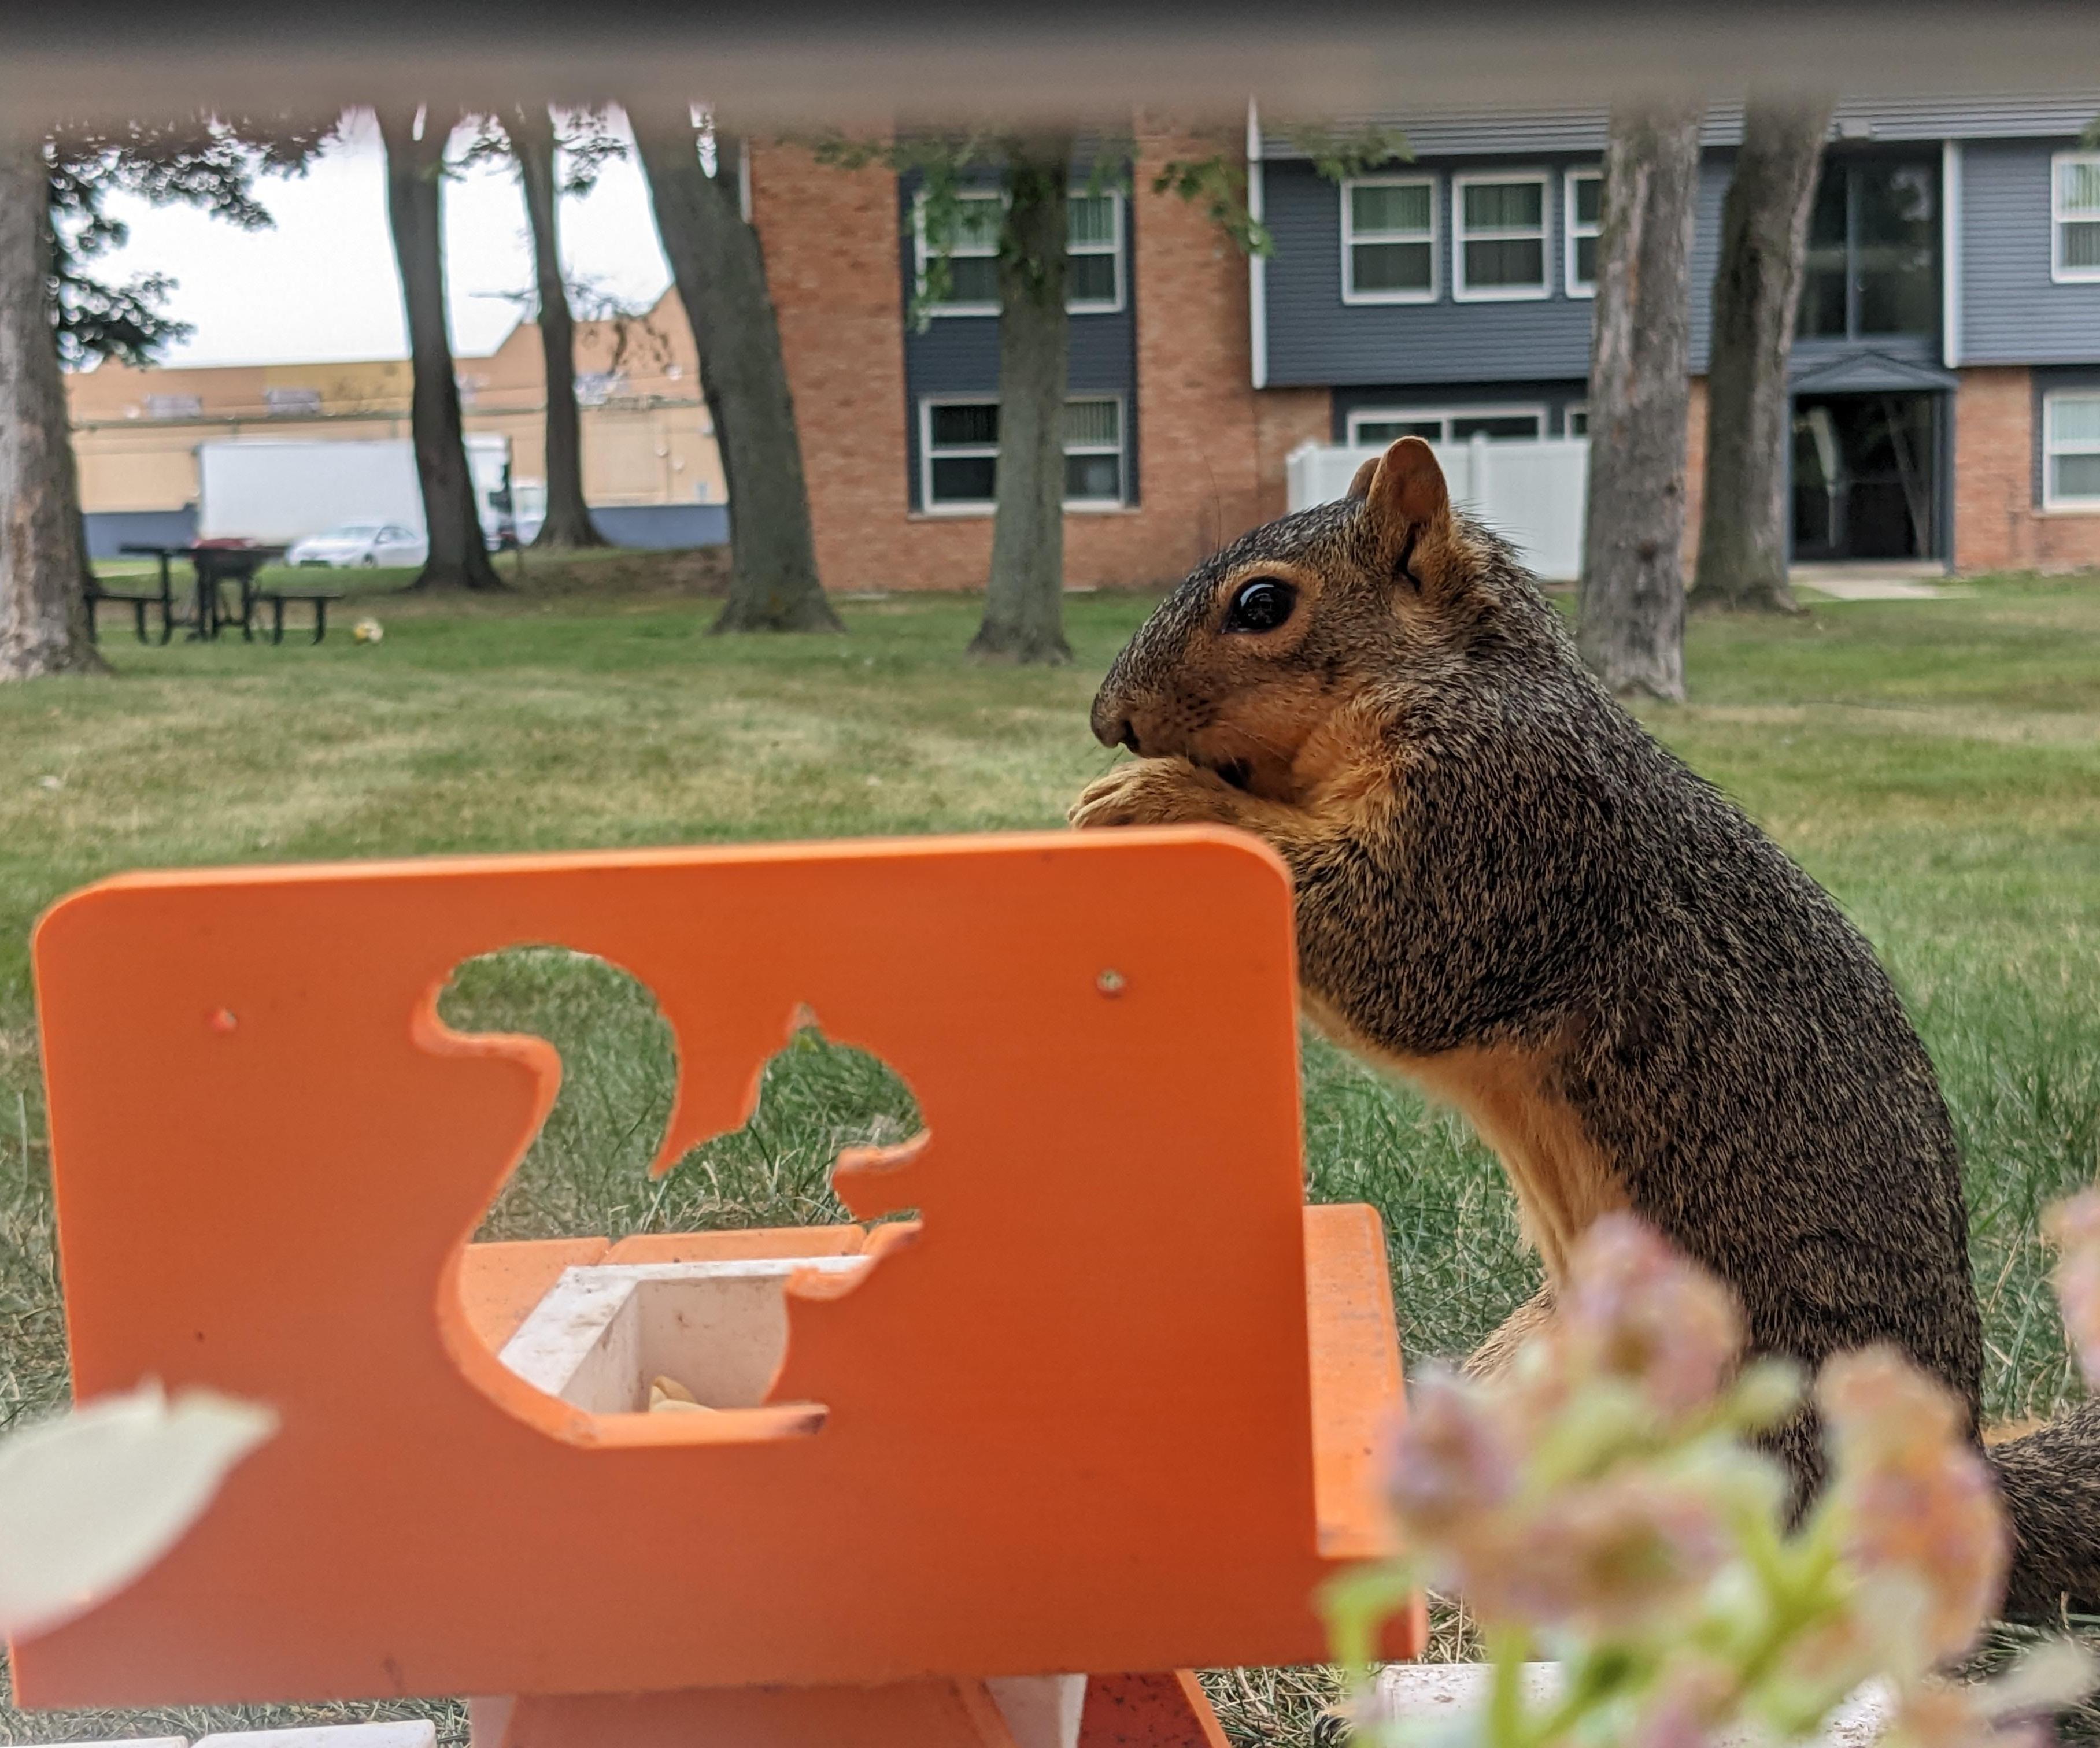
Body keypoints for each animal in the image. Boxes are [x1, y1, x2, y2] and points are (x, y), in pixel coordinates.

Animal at [1075, 436, 2100, 1620]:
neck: (1459, 680)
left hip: (1752, 1449)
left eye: (1260, 604)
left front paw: (1149, 796)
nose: (1110, 719)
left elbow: (1397, 944)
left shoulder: (1503, 827)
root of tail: (1961, 1494)